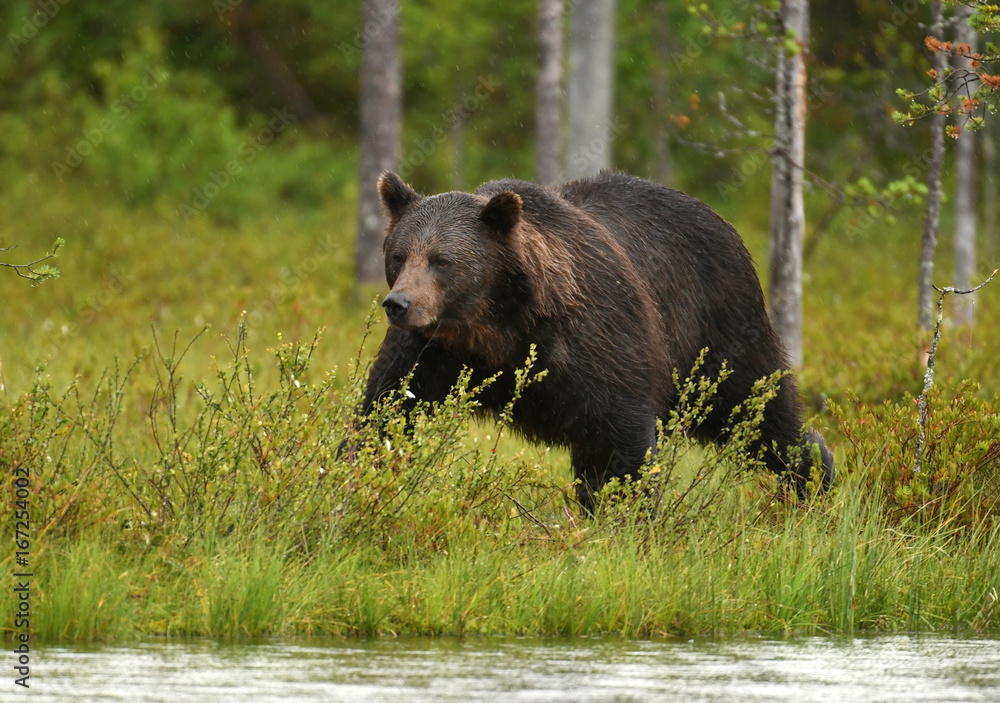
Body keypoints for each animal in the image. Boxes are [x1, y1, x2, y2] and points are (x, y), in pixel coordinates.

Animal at [359, 170, 834, 513]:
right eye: (399, 255)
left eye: (441, 260)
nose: (398, 304)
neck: (495, 324)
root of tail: (726, 225)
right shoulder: (433, 351)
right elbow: (387, 408)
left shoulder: (594, 338)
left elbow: (619, 437)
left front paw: (627, 515)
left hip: (720, 328)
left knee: (757, 409)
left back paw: (815, 475)